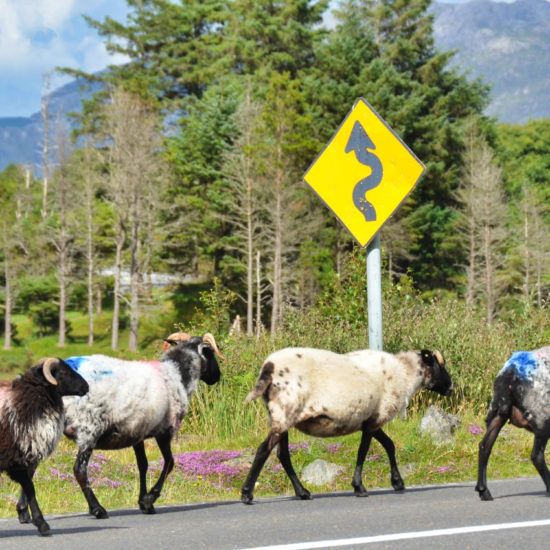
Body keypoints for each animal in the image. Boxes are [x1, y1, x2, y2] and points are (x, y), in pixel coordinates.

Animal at [0, 358, 89, 536]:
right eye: (64, 372)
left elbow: (28, 488)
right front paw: (42, 524)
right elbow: (30, 489)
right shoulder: (16, 460)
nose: (87, 386)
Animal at [61, 334, 222, 520]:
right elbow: (170, 462)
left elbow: (143, 465)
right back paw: (97, 509)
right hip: (89, 429)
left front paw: (143, 502)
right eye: (211, 353)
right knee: (79, 469)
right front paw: (149, 499)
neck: (177, 374)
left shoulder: (137, 432)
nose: (218, 376)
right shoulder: (165, 430)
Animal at [242, 350, 452, 504]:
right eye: (439, 364)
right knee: (264, 450)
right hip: (285, 410)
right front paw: (359, 487)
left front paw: (398, 483)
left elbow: (389, 445)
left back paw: (302, 492)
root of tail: (269, 367)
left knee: (282, 454)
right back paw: (246, 494)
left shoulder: (370, 420)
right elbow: (363, 452)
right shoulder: (373, 420)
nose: (451, 387)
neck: (405, 373)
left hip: (281, 416)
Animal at [476, 348, 550, 502]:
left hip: (498, 412)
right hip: (542, 417)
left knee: (484, 446)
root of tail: (508, 373)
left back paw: (484, 492)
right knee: (537, 456)